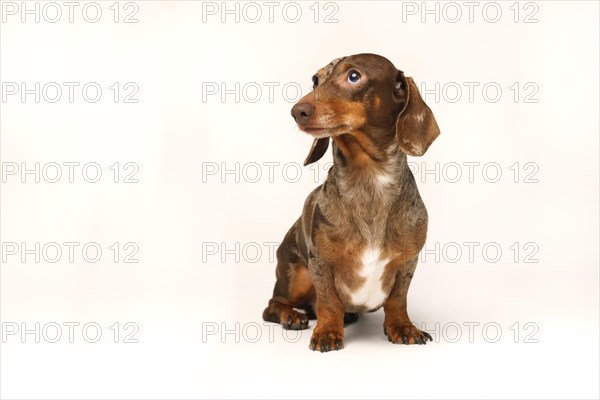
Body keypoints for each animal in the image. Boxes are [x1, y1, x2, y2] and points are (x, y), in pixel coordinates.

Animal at [262, 54, 440, 354]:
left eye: (354, 76)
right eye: (316, 79)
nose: (297, 111)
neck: (368, 181)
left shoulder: (407, 263)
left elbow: (397, 300)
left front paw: (403, 327)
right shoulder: (320, 263)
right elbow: (329, 302)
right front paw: (327, 332)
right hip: (295, 274)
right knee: (274, 305)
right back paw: (292, 316)